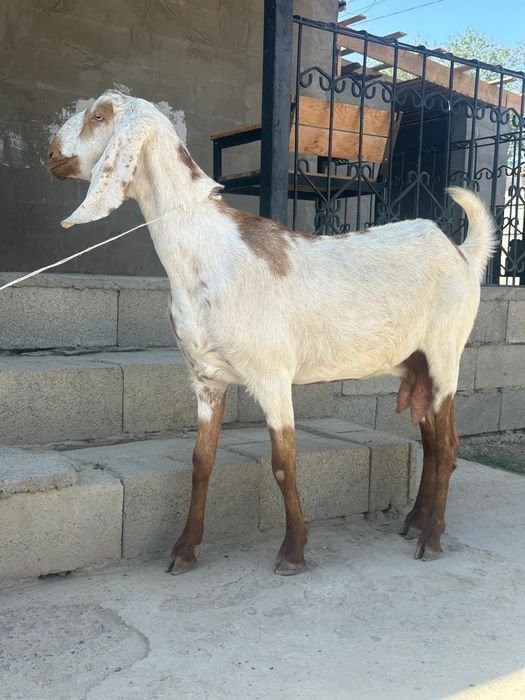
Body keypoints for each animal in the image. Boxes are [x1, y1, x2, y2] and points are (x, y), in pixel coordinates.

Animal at [48, 90, 496, 574]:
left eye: (99, 116)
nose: (50, 154)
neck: (207, 249)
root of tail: (462, 252)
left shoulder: (272, 376)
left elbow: (284, 462)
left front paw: (293, 551)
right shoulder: (206, 377)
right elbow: (201, 461)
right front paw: (184, 548)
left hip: (445, 354)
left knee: (447, 447)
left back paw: (431, 538)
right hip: (416, 364)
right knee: (431, 443)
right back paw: (415, 522)